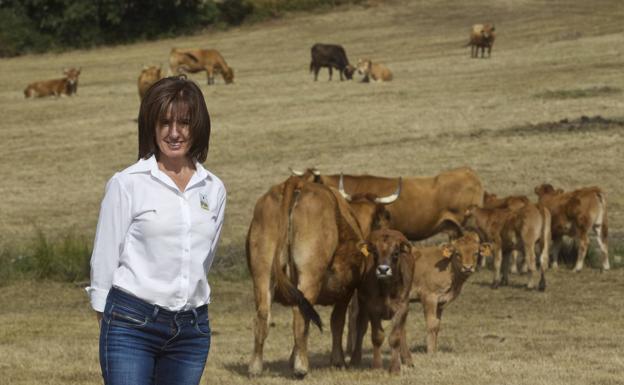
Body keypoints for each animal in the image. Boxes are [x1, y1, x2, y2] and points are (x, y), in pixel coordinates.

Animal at [247, 176, 400, 376]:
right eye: (386, 218)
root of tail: (296, 183)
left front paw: (292, 358)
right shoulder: (346, 290)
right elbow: (337, 322)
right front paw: (338, 360)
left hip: (262, 272)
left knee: (263, 314)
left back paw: (256, 366)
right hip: (309, 276)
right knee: (300, 315)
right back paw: (302, 367)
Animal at [352, 228, 414, 372]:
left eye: (396, 253)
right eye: (375, 252)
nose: (383, 270)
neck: (387, 288)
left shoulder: (402, 306)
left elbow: (396, 337)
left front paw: (395, 367)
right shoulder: (372, 307)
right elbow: (377, 336)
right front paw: (377, 366)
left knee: (402, 331)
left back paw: (407, 359)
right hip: (362, 303)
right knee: (361, 327)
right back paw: (355, 359)